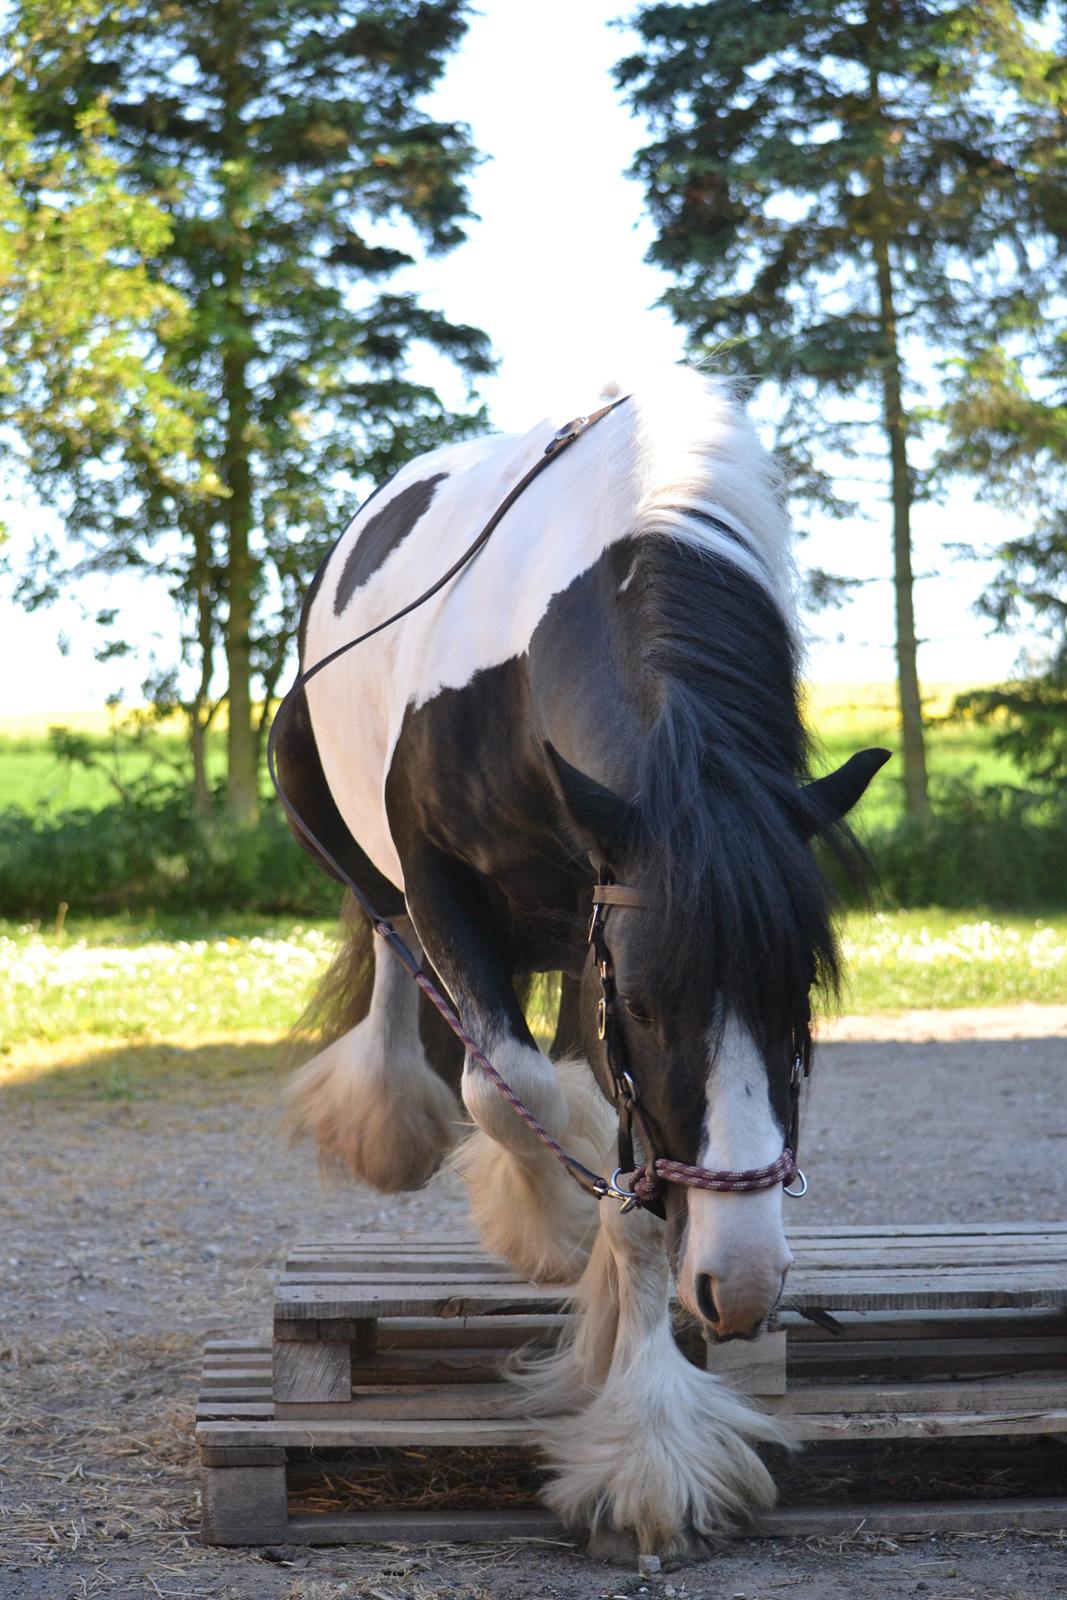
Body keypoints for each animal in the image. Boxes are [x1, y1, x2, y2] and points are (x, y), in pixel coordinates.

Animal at [273, 368, 883, 1555]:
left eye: (800, 1000)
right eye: (646, 1005)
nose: (743, 1282)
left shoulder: (607, 921)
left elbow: (628, 1185)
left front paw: (649, 1436)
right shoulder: (457, 887)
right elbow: (507, 1093)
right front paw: (554, 1238)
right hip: (364, 850)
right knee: (392, 954)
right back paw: (391, 1126)